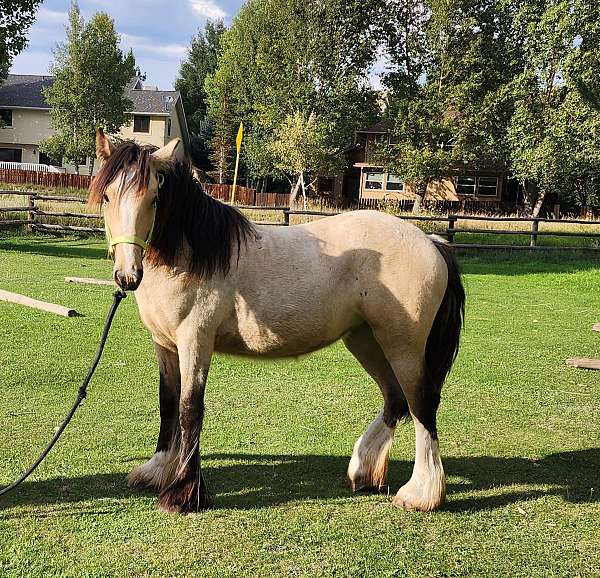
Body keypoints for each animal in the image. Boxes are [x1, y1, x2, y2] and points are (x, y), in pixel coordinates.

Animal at [89, 128, 464, 510]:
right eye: (106, 196)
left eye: (153, 198)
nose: (127, 275)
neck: (193, 256)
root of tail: (431, 241)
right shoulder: (165, 345)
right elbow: (167, 403)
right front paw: (156, 472)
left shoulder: (195, 342)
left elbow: (189, 408)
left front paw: (184, 495)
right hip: (366, 340)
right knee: (395, 398)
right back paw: (362, 470)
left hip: (403, 347)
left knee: (421, 403)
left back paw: (420, 493)